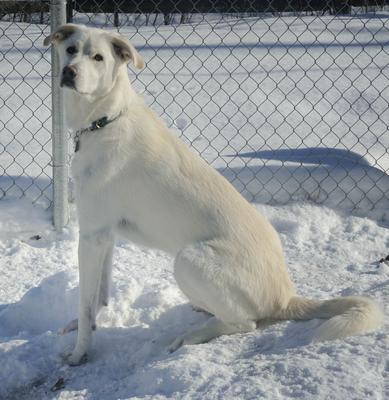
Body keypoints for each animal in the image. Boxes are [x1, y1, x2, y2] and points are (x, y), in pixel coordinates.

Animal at [43, 25, 382, 366]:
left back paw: (191, 336)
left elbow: (85, 302)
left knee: (245, 322)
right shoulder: (105, 235)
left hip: (189, 260)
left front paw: (79, 352)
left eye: (98, 57)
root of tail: (285, 297)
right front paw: (85, 324)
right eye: (71, 49)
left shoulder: (92, 235)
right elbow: (99, 295)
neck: (106, 119)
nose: (69, 72)